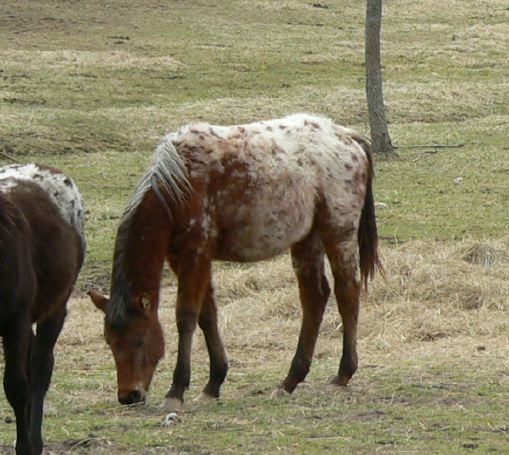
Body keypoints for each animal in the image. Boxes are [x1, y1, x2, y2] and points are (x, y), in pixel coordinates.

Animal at [0, 165, 85, 455]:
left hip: (55, 306)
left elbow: (16, 385)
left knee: (40, 367)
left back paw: (34, 439)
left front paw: (25, 445)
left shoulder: (15, 318)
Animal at [88, 114, 380, 414]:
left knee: (347, 293)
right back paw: (290, 381)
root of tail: (347, 136)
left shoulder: (195, 254)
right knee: (315, 297)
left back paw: (342, 374)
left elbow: (186, 316)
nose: (129, 395)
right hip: (306, 239)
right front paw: (213, 384)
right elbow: (207, 316)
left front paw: (176, 390)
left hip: (338, 234)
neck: (179, 186)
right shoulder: (186, 258)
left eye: (139, 339)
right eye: (109, 341)